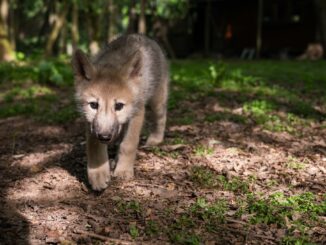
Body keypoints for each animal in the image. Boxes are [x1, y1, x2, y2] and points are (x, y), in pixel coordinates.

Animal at [72, 34, 169, 191]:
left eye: (119, 106)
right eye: (93, 105)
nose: (105, 136)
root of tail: (143, 36)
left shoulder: (137, 112)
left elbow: (128, 144)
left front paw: (123, 170)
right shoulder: (91, 122)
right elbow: (94, 146)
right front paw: (98, 174)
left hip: (157, 101)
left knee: (160, 118)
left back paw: (156, 139)